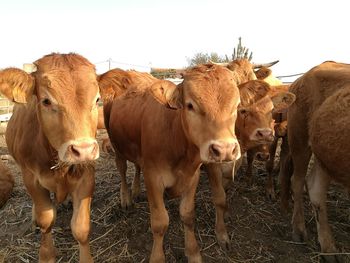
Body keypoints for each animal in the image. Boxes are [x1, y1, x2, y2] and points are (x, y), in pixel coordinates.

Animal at [2, 52, 101, 262]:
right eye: (47, 101)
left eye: (97, 99)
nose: (84, 150)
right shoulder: (31, 179)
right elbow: (46, 219)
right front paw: (47, 255)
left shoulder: (87, 177)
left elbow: (81, 228)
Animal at [105, 64, 242, 263]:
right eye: (190, 105)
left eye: (237, 105)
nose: (224, 149)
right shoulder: (153, 177)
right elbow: (160, 222)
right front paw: (157, 257)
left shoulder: (192, 176)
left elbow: (187, 214)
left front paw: (193, 253)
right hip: (116, 145)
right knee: (122, 169)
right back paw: (126, 198)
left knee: (136, 166)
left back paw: (136, 191)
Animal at [280, 62, 350, 262]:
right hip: (300, 140)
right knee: (297, 181)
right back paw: (299, 230)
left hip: (324, 153)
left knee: (314, 188)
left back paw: (328, 248)